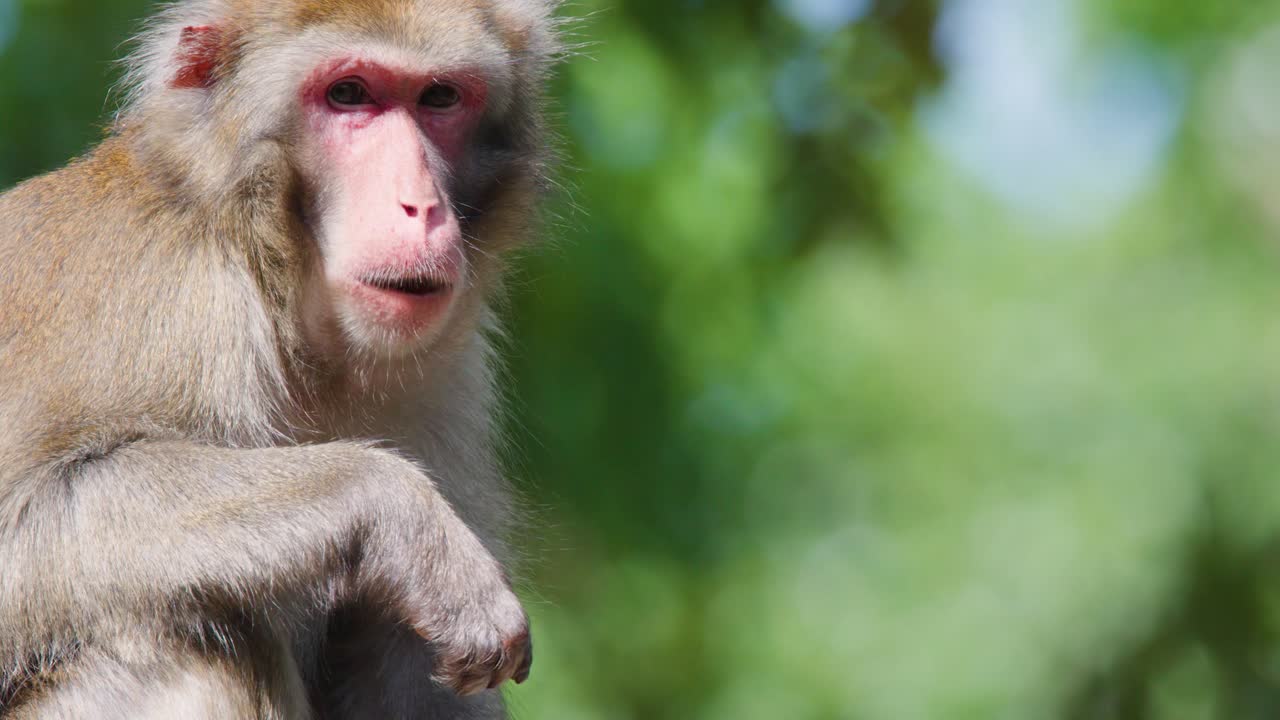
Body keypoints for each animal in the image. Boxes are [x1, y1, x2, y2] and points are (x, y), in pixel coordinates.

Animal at [0, 0, 563, 718]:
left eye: (439, 98)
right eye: (348, 93)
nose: (421, 206)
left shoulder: (447, 378)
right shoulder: (175, 299)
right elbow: (25, 521)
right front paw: (397, 509)